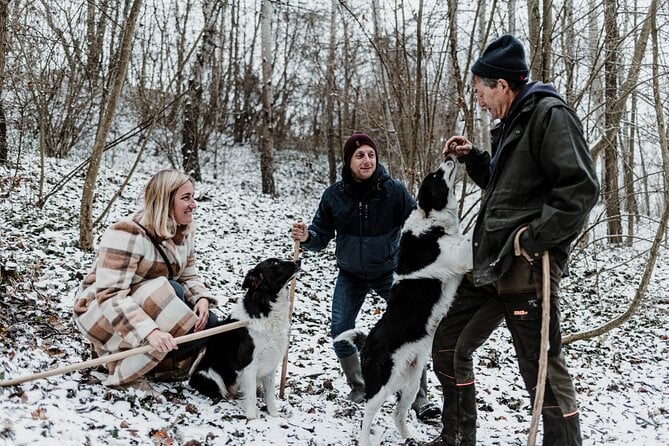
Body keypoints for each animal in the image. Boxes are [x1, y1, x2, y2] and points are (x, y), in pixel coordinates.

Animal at [189, 256, 302, 420]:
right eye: (275, 263)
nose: (299, 261)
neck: (266, 304)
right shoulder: (249, 364)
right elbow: (251, 395)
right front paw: (252, 417)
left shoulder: (271, 362)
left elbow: (270, 394)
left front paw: (273, 414)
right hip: (212, 376)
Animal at [334, 155, 470, 444]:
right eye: (436, 176)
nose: (449, 157)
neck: (431, 222)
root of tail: (366, 343)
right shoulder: (460, 257)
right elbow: (471, 237)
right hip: (382, 383)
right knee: (367, 416)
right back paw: (366, 440)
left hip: (410, 381)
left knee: (398, 414)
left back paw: (411, 438)